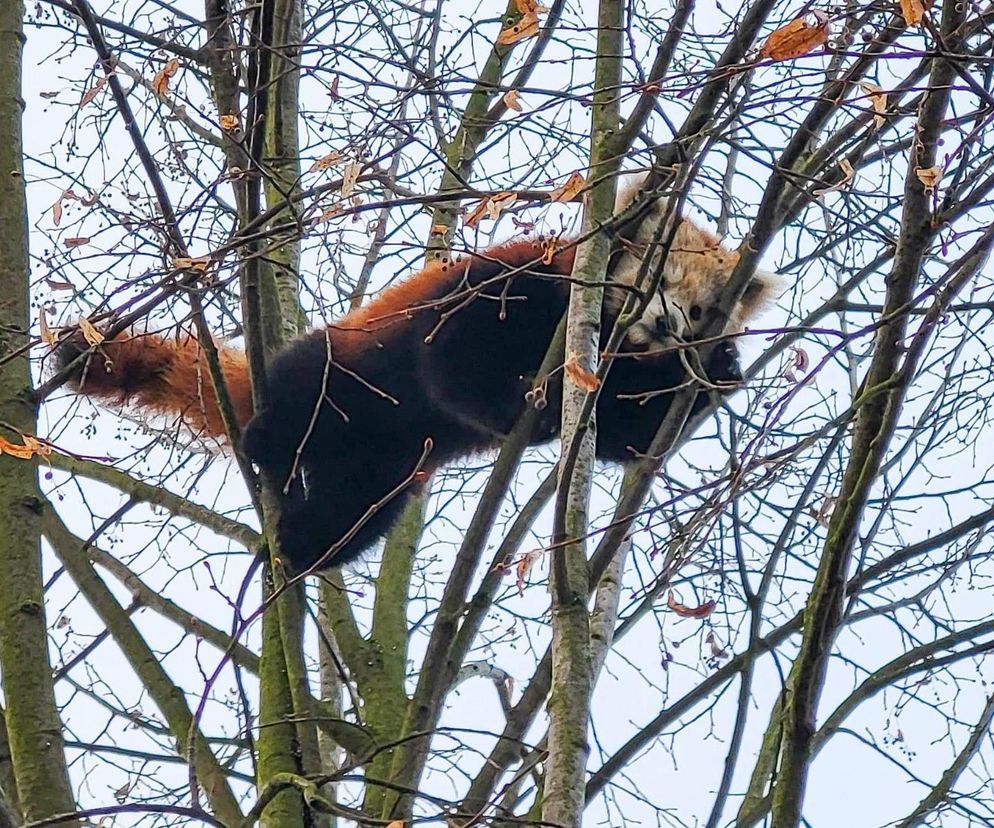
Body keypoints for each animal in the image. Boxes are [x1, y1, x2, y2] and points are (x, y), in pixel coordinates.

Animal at [54, 179, 780, 572]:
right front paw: (529, 412)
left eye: (699, 309)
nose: (669, 325)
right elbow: (451, 364)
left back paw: (303, 546)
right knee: (302, 396)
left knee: (357, 514)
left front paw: (721, 369)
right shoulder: (506, 287)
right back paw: (266, 439)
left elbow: (628, 438)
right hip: (338, 366)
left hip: (388, 467)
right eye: (659, 277)